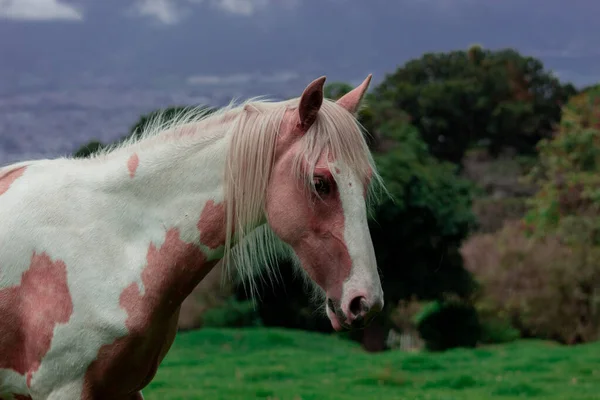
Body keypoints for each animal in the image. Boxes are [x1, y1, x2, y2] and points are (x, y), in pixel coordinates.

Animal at [0, 76, 384, 400]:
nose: (365, 303)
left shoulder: (126, 388)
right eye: (321, 182)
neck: (112, 240)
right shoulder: (63, 389)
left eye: (366, 181)